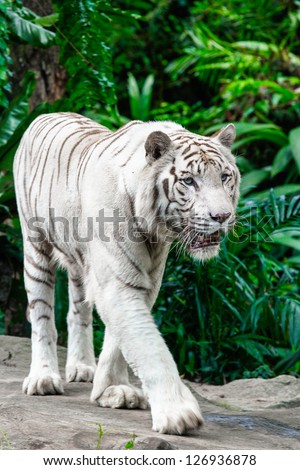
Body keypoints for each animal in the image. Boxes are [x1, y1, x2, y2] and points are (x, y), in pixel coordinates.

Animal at [13, 112, 239, 436]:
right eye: (188, 181)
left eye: (224, 177)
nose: (222, 217)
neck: (154, 228)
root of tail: (45, 114)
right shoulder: (116, 284)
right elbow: (150, 347)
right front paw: (177, 413)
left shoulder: (146, 281)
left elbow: (119, 341)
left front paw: (112, 390)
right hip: (36, 248)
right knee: (42, 316)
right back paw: (43, 379)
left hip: (80, 263)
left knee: (78, 312)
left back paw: (82, 368)